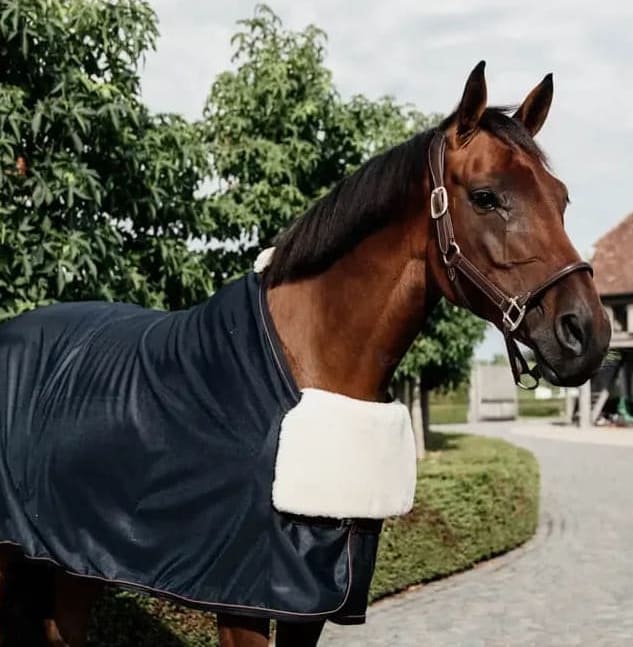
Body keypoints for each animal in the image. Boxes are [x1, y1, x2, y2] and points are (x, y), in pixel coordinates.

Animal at [0, 61, 610, 646]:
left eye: (561, 199)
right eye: (486, 196)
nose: (586, 333)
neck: (307, 369)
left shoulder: (316, 598)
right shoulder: (246, 600)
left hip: (73, 557)